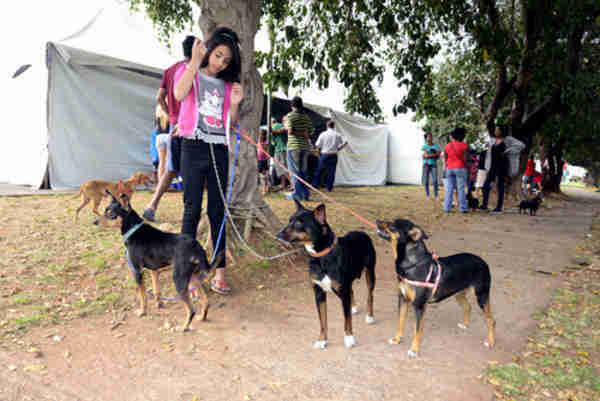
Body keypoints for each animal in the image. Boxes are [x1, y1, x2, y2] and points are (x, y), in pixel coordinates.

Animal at [276, 200, 376, 346]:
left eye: (299, 224)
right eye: (289, 220)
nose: (277, 235)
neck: (321, 257)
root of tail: (362, 233)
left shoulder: (342, 290)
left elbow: (347, 319)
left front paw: (349, 338)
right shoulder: (319, 293)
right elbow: (323, 320)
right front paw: (322, 340)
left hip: (370, 273)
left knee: (370, 295)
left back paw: (369, 316)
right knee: (352, 291)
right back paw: (353, 307)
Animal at [376, 217, 496, 358]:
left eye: (392, 225)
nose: (377, 220)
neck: (413, 264)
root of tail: (484, 262)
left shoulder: (419, 305)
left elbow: (418, 329)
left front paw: (414, 350)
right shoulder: (403, 299)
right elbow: (400, 322)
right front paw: (397, 339)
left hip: (481, 296)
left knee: (491, 320)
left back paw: (490, 342)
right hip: (459, 293)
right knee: (468, 307)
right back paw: (465, 325)